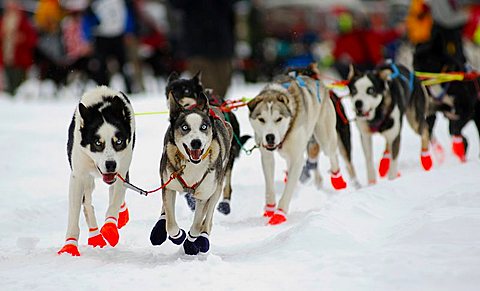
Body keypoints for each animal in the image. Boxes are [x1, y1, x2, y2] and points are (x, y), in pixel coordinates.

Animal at [59, 86, 137, 258]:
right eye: (97, 143)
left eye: (118, 141)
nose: (110, 164)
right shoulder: (78, 176)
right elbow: (74, 214)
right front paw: (69, 247)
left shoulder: (122, 170)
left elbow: (114, 202)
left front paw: (110, 228)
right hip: (87, 181)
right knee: (88, 204)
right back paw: (95, 236)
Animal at [150, 93, 232, 256]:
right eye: (185, 127)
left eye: (204, 127)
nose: (196, 142)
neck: (191, 165)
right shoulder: (169, 186)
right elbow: (171, 224)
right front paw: (178, 236)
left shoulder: (203, 195)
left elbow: (196, 225)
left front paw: (191, 243)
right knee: (165, 211)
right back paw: (159, 230)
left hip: (217, 188)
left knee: (208, 217)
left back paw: (203, 239)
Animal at [249, 74, 346, 226]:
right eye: (261, 119)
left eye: (278, 119)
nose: (270, 137)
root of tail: (319, 82)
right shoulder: (266, 156)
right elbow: (269, 186)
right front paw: (269, 209)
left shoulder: (297, 159)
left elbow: (289, 188)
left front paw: (279, 214)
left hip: (325, 137)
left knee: (332, 154)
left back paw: (338, 180)